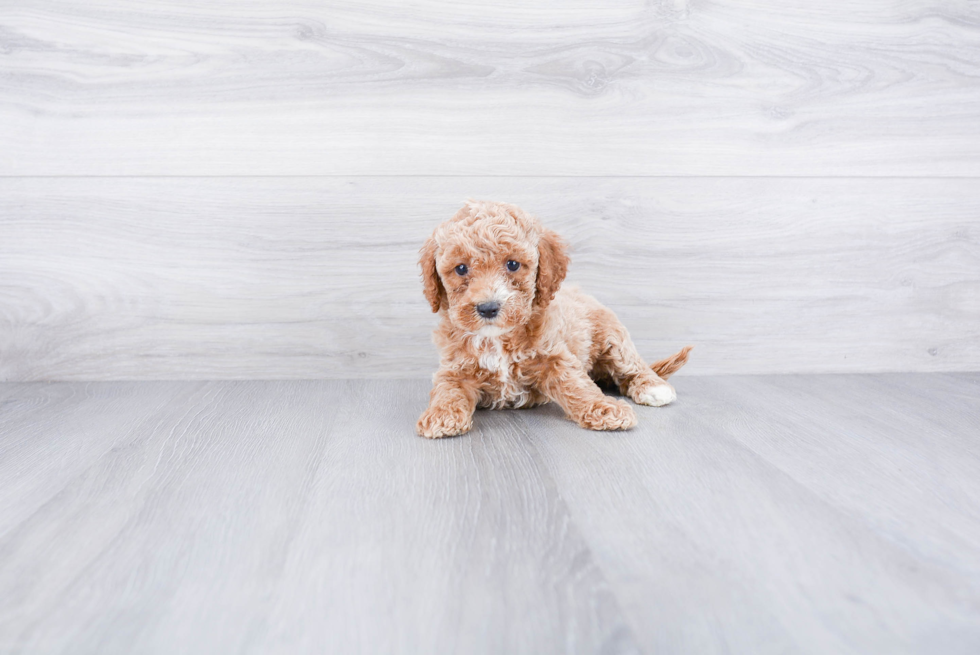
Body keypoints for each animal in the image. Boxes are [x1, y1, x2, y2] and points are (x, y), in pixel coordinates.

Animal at [418, 197, 692, 438]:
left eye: (513, 264)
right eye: (461, 268)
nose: (488, 308)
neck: (496, 339)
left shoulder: (554, 356)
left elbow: (576, 385)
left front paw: (604, 408)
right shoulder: (455, 367)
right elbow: (447, 389)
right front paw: (440, 415)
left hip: (611, 335)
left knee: (631, 365)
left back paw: (652, 386)